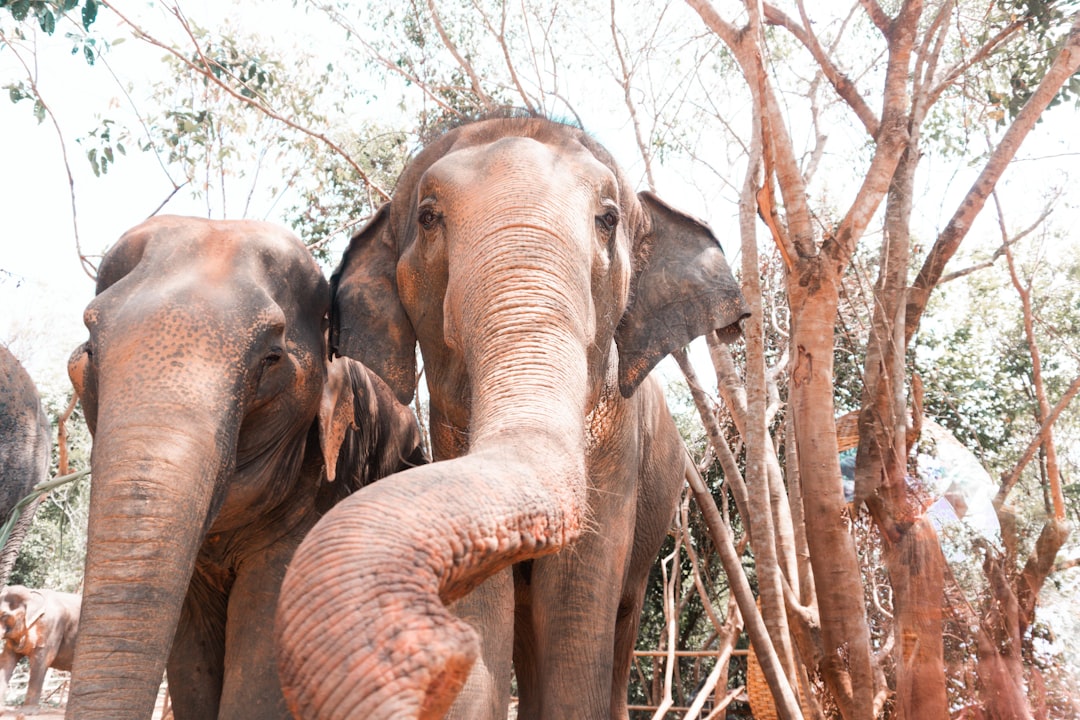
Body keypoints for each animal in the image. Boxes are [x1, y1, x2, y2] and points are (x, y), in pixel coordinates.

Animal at [276, 114, 749, 719]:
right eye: (428, 218)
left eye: (608, 219)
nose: (437, 654)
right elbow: (488, 598)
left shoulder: (619, 440)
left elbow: (574, 595)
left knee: (618, 619)